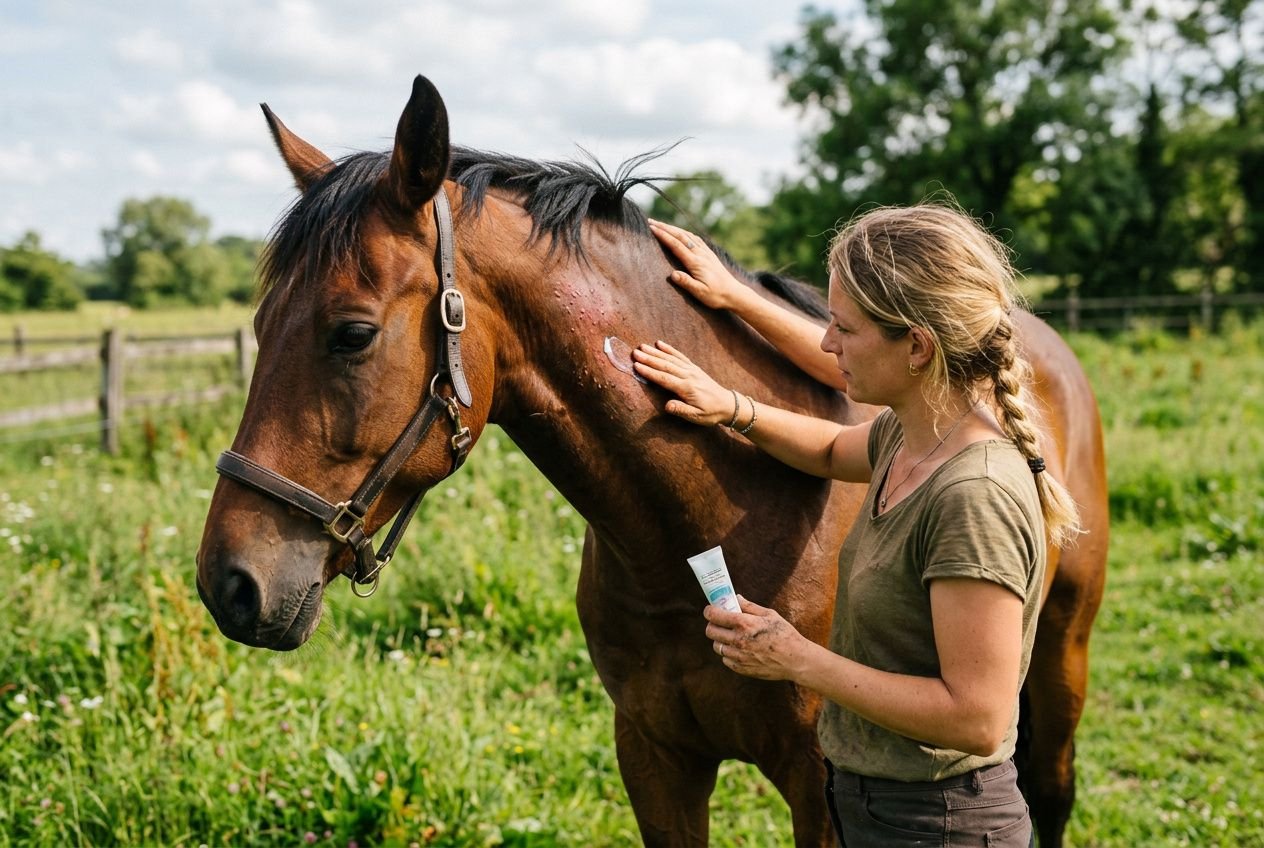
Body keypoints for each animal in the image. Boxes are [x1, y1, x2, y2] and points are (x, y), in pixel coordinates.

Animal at [196, 75, 1108, 847]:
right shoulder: (653, 757)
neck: (715, 524)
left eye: (352, 333)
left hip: (1062, 651)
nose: (229, 585)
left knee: (1050, 788)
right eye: (257, 324)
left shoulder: (822, 786)